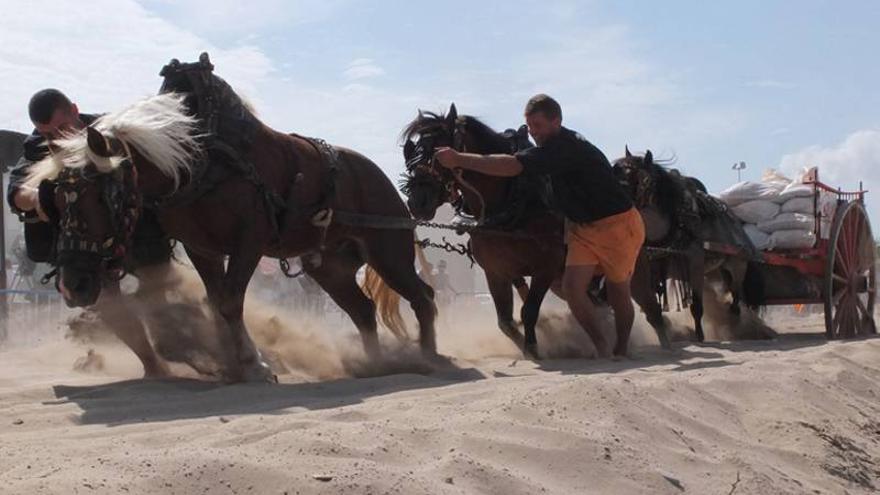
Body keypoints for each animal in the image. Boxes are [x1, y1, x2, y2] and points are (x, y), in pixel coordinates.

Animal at [27, 54, 436, 382]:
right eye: (56, 200)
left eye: (101, 196)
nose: (73, 284)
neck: (199, 160)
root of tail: (381, 180)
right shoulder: (201, 248)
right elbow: (215, 301)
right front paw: (231, 363)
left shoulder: (248, 241)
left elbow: (228, 302)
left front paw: (253, 365)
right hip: (329, 266)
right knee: (363, 310)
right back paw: (375, 364)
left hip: (388, 252)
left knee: (423, 297)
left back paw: (430, 358)